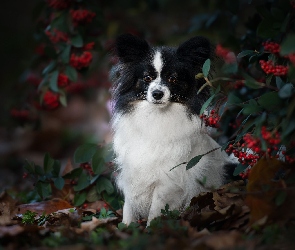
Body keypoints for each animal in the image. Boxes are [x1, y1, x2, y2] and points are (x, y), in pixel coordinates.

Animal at [111, 34, 231, 225]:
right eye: (147, 78)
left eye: (173, 79)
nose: (157, 94)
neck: (156, 117)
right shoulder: (133, 171)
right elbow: (128, 208)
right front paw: (126, 227)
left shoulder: (168, 180)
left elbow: (156, 210)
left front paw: (151, 228)